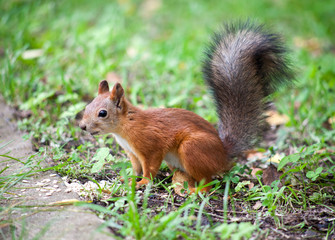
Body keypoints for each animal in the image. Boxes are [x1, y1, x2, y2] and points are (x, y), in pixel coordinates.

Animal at [80, 21, 296, 193]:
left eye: (102, 113)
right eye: (87, 106)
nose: (82, 126)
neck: (126, 126)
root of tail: (223, 155)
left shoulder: (150, 147)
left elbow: (149, 168)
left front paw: (143, 183)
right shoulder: (132, 153)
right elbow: (136, 167)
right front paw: (129, 178)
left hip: (192, 149)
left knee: (208, 183)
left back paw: (194, 192)